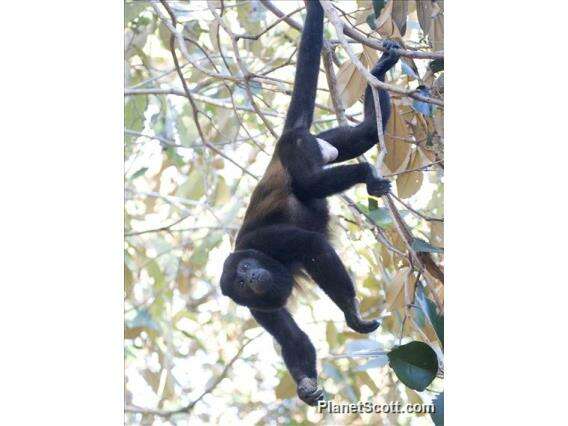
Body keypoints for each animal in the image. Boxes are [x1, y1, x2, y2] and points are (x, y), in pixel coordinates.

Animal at [220, 0, 402, 406]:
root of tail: (284, 139)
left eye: (245, 271)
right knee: (362, 136)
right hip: (319, 140)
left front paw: (352, 313)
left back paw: (366, 171)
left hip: (298, 146)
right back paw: (378, 81)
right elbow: (292, 338)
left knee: (308, 182)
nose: (250, 277)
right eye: (240, 285)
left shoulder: (264, 242)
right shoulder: (259, 309)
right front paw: (305, 386)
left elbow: (312, 245)